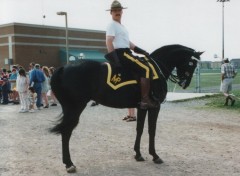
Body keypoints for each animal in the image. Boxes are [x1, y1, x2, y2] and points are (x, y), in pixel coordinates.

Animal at [50, 44, 202, 172]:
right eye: (192, 63)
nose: (185, 83)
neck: (157, 69)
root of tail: (63, 68)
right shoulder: (155, 107)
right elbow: (151, 130)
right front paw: (154, 155)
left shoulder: (142, 107)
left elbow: (139, 129)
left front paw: (138, 154)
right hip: (75, 108)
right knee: (66, 132)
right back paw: (69, 164)